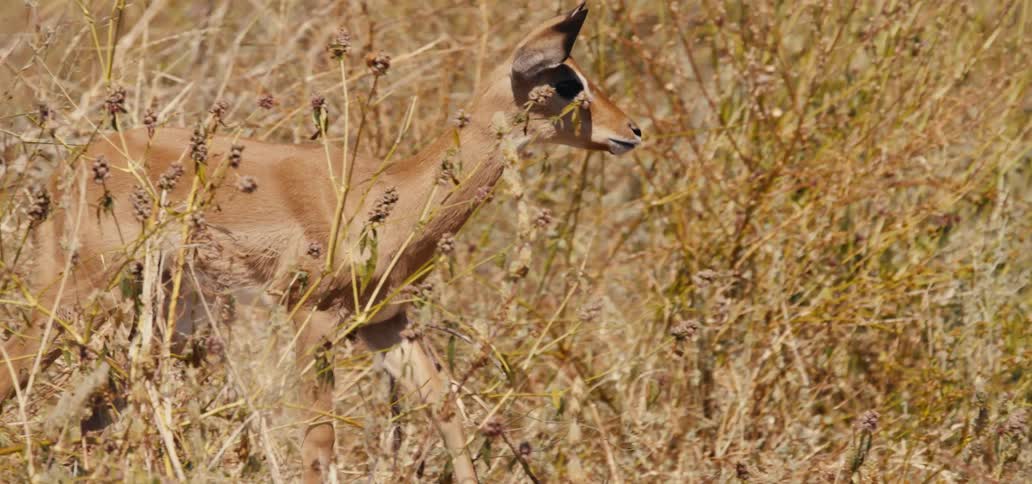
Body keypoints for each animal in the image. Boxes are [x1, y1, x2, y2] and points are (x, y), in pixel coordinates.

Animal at [0, 2, 641, 482]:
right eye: (567, 80)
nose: (633, 130)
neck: (394, 193)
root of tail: (70, 169)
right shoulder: (310, 316)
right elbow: (320, 442)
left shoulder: (386, 324)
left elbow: (447, 408)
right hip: (75, 294)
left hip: (157, 322)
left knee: (88, 415)